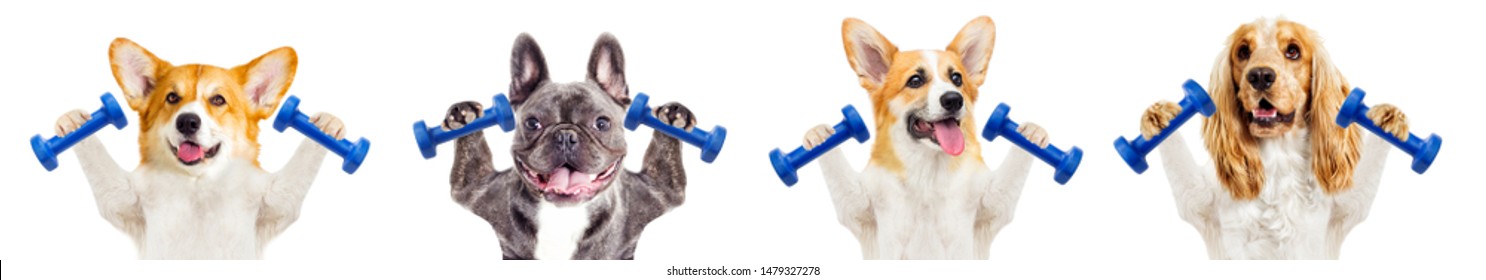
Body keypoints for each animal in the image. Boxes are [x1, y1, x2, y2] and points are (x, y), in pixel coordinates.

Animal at [50, 38, 347, 259]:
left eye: (218, 100)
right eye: (172, 97)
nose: (187, 121)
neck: (198, 185)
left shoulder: (276, 203)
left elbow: (298, 171)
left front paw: (326, 126)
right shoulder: (125, 202)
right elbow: (102, 170)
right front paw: (75, 123)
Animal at [802, 16, 1058, 259]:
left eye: (957, 79)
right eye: (915, 81)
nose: (954, 99)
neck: (928, 173)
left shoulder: (991, 207)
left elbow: (1009, 179)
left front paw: (1030, 133)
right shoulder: (859, 209)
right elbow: (842, 182)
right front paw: (821, 135)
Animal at [1141, 16, 1408, 257]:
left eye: (1293, 51)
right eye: (1243, 51)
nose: (1260, 76)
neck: (1278, 157)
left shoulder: (1345, 211)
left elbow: (1367, 175)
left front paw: (1388, 117)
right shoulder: (1200, 205)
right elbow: (1180, 167)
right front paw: (1158, 115)